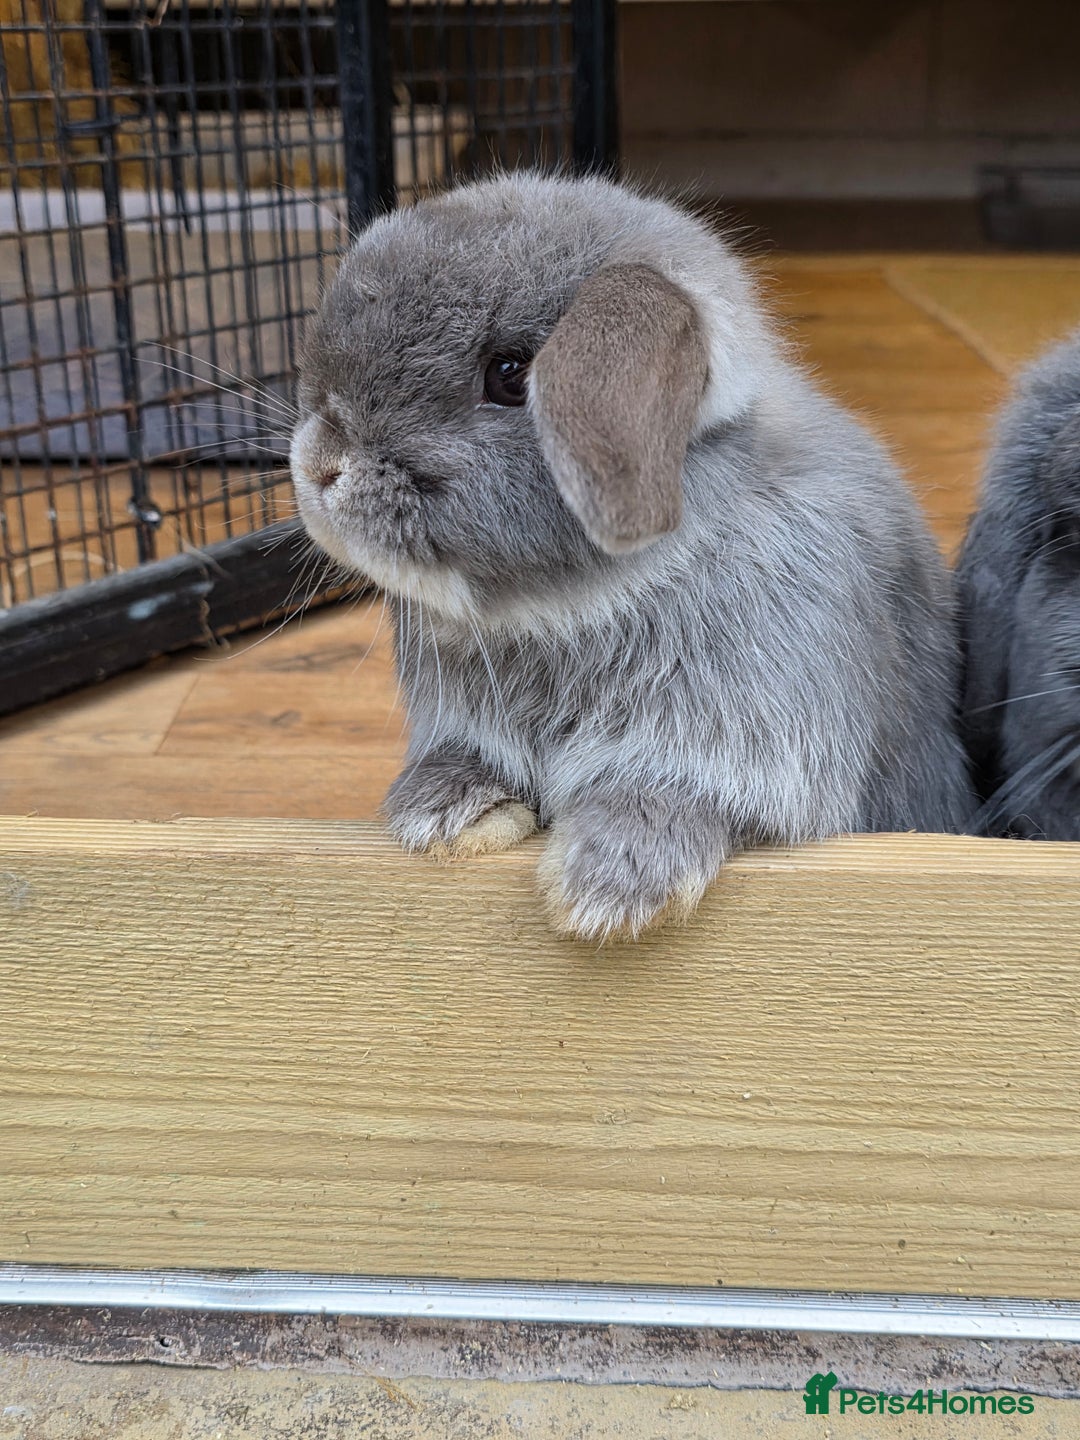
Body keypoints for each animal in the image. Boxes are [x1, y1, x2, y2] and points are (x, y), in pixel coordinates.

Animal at [290, 171, 972, 941]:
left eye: (510, 374)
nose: (319, 466)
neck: (573, 607)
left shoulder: (751, 735)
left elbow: (678, 795)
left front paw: (605, 889)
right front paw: (442, 814)